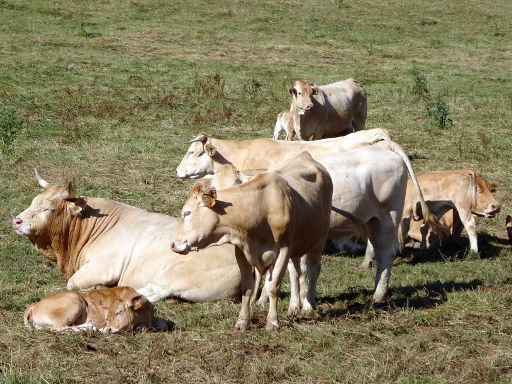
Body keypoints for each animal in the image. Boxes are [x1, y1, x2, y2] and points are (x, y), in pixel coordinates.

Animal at [11, 170, 244, 304]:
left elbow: (72, 283)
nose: (17, 221)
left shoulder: (103, 267)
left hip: (176, 275)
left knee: (150, 292)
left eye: (49, 209)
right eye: (33, 201)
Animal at [23, 284, 165, 332]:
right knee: (55, 328)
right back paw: (88, 328)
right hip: (75, 302)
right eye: (107, 318)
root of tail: (35, 304)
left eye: (119, 312)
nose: (107, 329)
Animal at [170, 152, 334, 332]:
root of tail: (306, 156)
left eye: (187, 213)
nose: (173, 244)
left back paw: (308, 305)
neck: (261, 207)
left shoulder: (283, 250)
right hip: (297, 246)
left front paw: (272, 322)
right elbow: (247, 287)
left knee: (312, 268)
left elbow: (273, 287)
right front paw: (242, 321)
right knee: (296, 272)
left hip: (319, 239)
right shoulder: (242, 251)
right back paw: (294, 306)